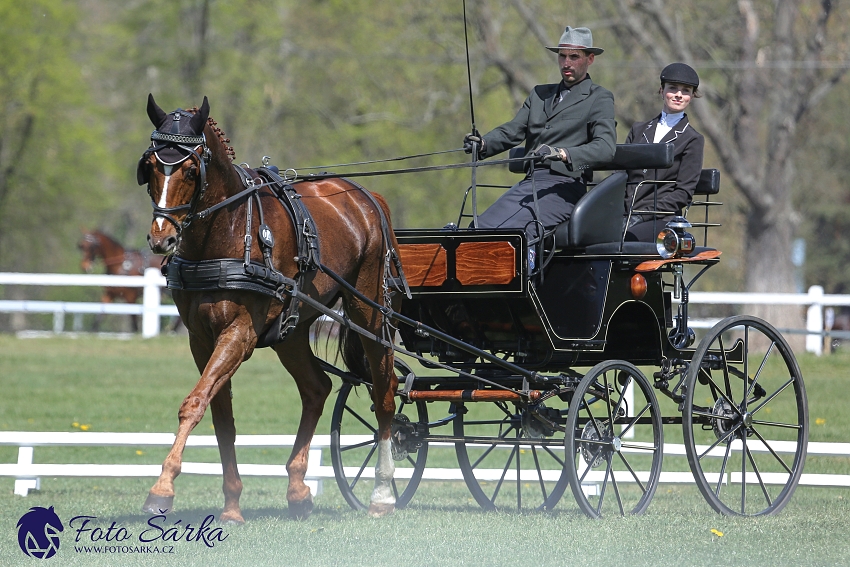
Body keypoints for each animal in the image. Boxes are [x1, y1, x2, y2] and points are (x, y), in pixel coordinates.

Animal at [138, 94, 400, 524]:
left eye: (191, 169)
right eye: (151, 166)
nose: (162, 239)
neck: (226, 233)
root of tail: (366, 197)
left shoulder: (239, 333)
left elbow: (194, 403)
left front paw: (162, 489)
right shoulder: (201, 339)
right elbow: (220, 416)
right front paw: (231, 505)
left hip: (369, 312)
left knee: (385, 392)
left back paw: (381, 492)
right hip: (291, 330)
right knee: (316, 388)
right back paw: (297, 489)